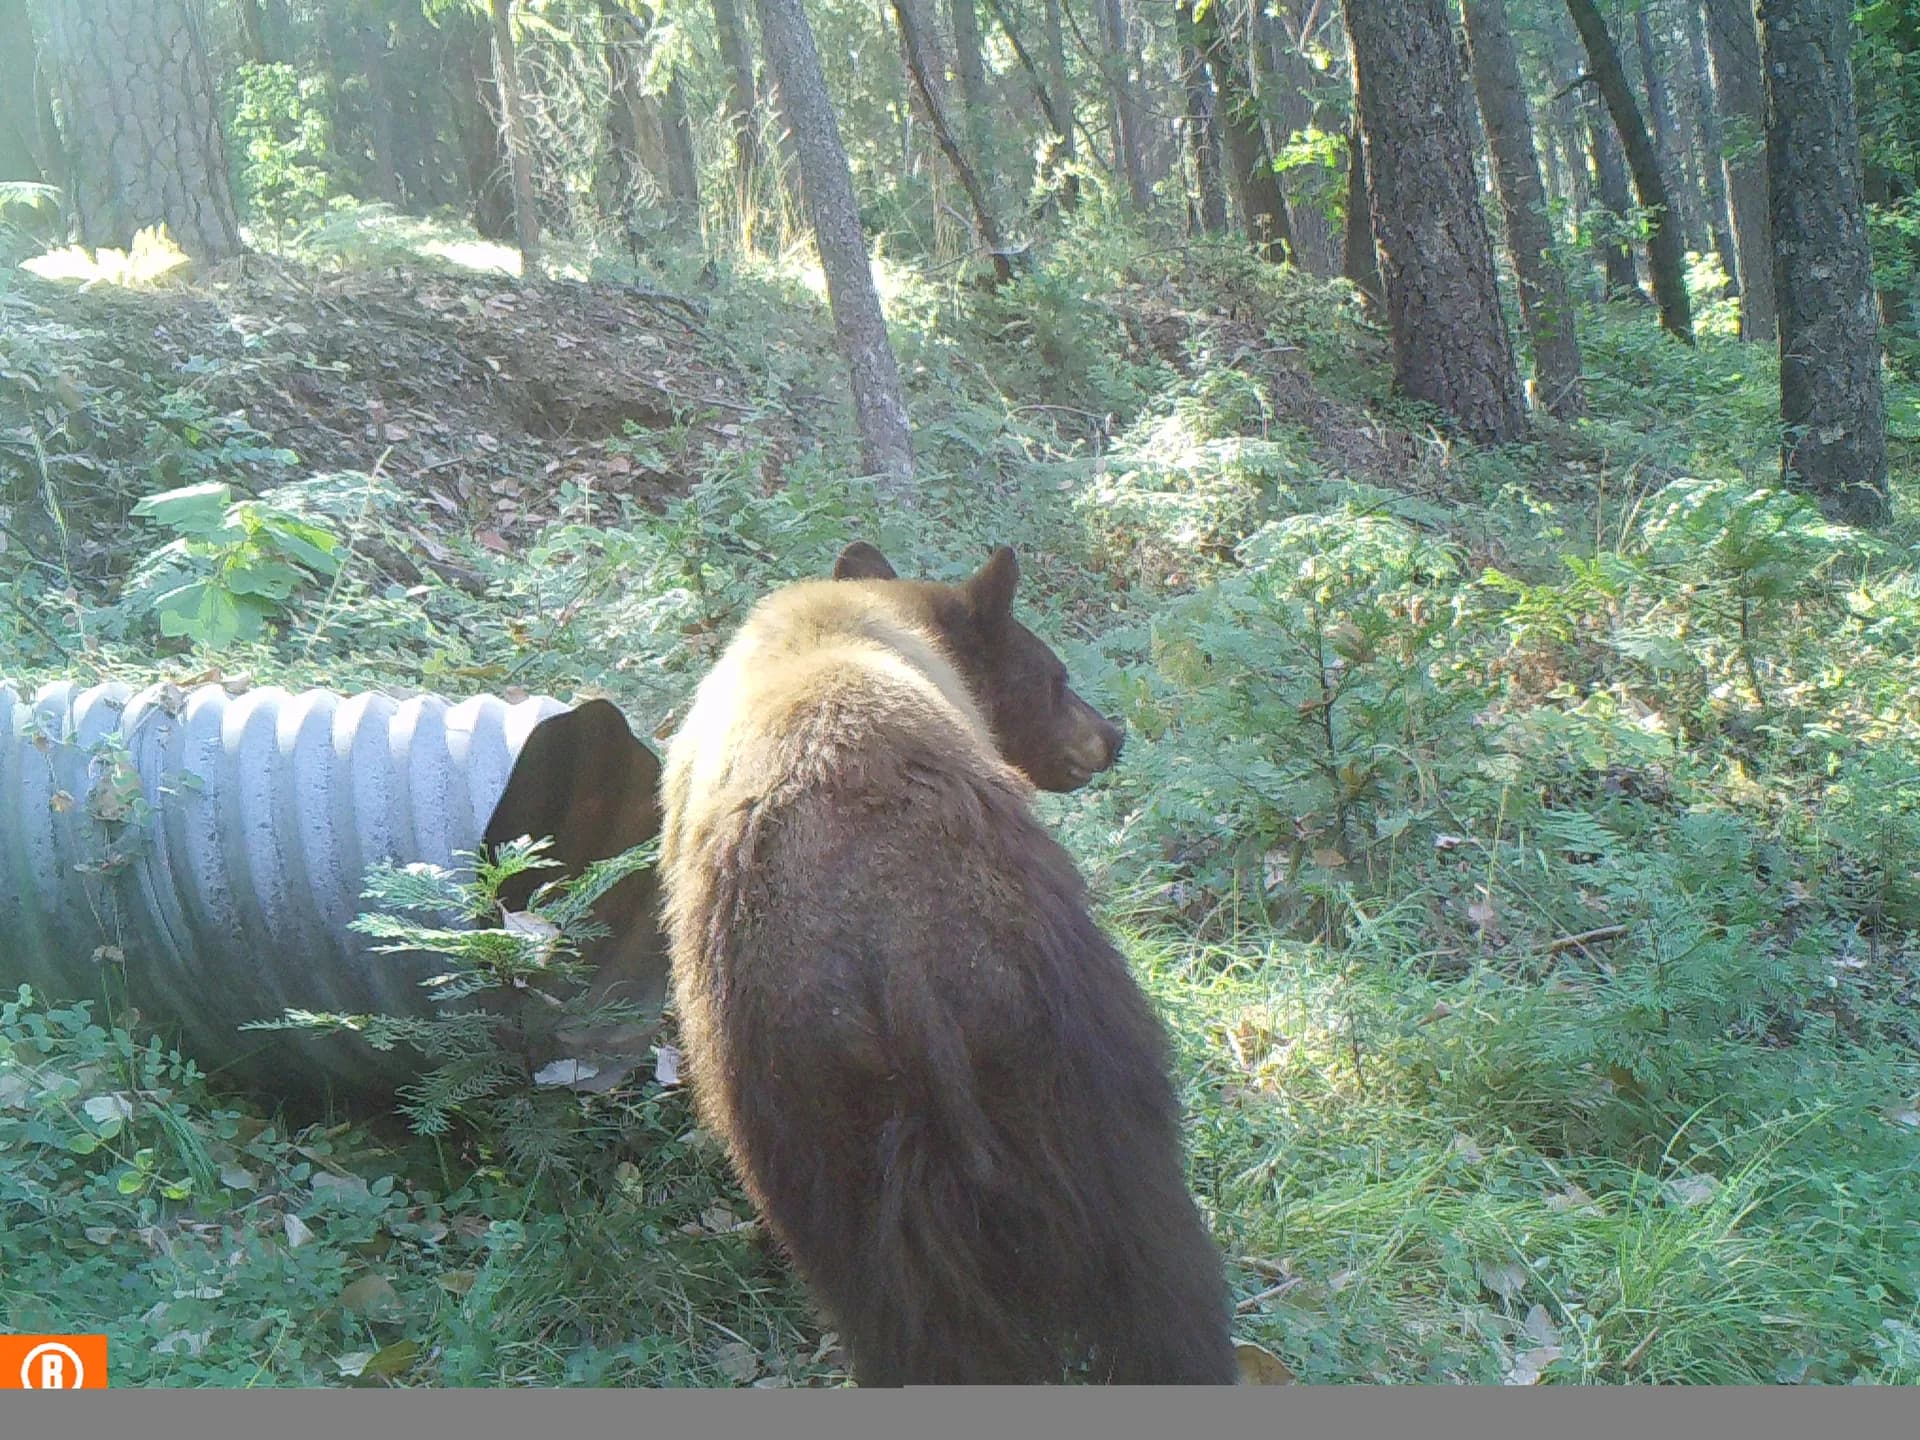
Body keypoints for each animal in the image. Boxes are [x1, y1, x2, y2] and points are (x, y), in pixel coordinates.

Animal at [656, 540, 1238, 1386]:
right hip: (1066, 1060)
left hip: (821, 1110)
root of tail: (911, 968)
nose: (1115, 733)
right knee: (1156, 1259)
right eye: (1058, 675)